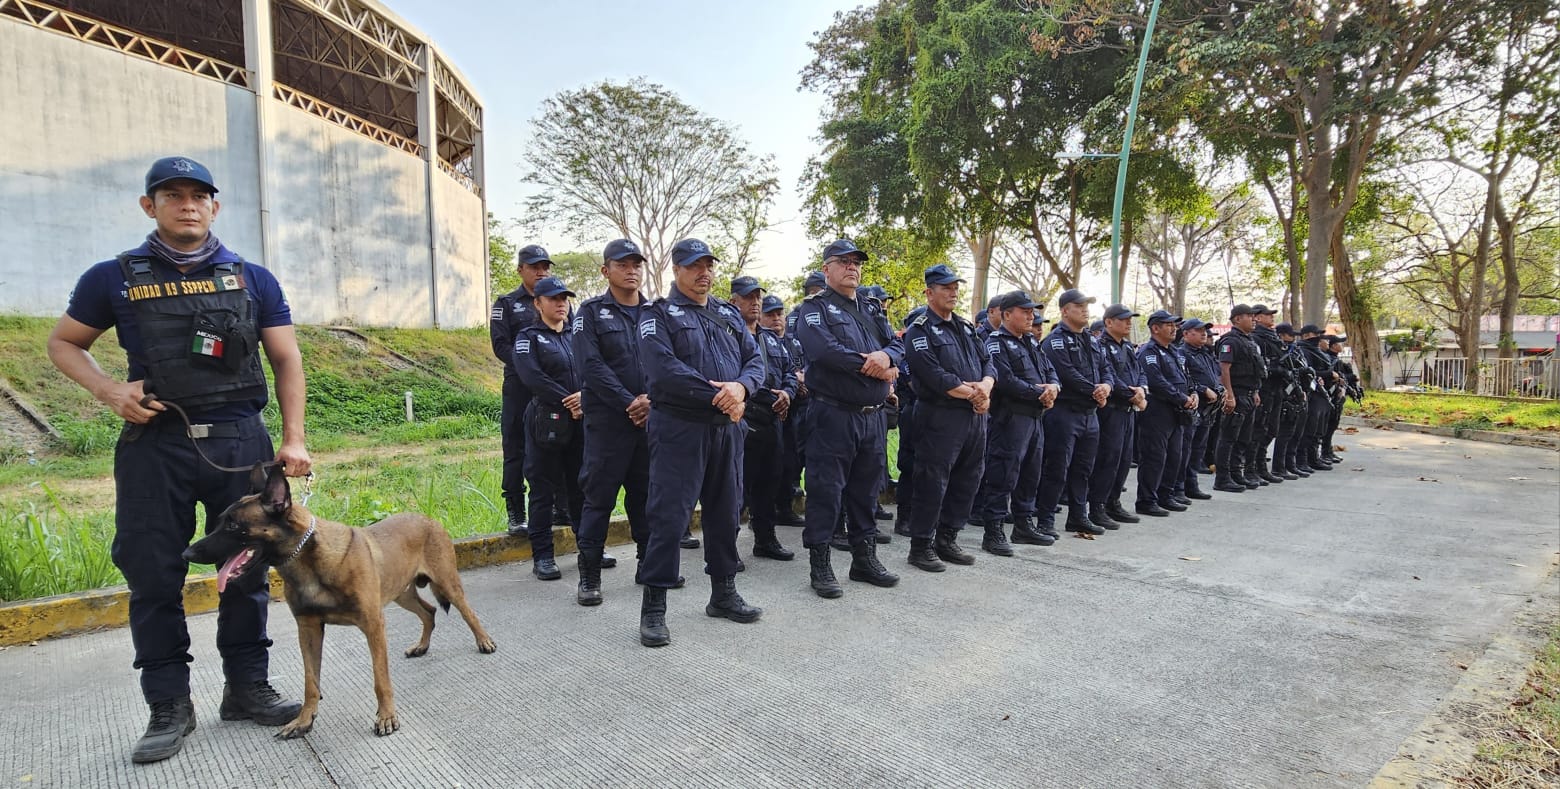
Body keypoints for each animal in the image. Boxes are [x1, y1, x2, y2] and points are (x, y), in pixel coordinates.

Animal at [185, 461, 496, 739]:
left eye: (233, 525)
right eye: (222, 521)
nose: (186, 554)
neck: (308, 558)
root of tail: (428, 519)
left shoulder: (373, 624)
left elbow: (380, 679)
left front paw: (386, 716)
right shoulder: (308, 629)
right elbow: (310, 681)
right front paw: (304, 720)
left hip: (446, 583)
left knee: (468, 612)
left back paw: (484, 641)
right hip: (400, 593)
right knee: (429, 611)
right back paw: (421, 646)